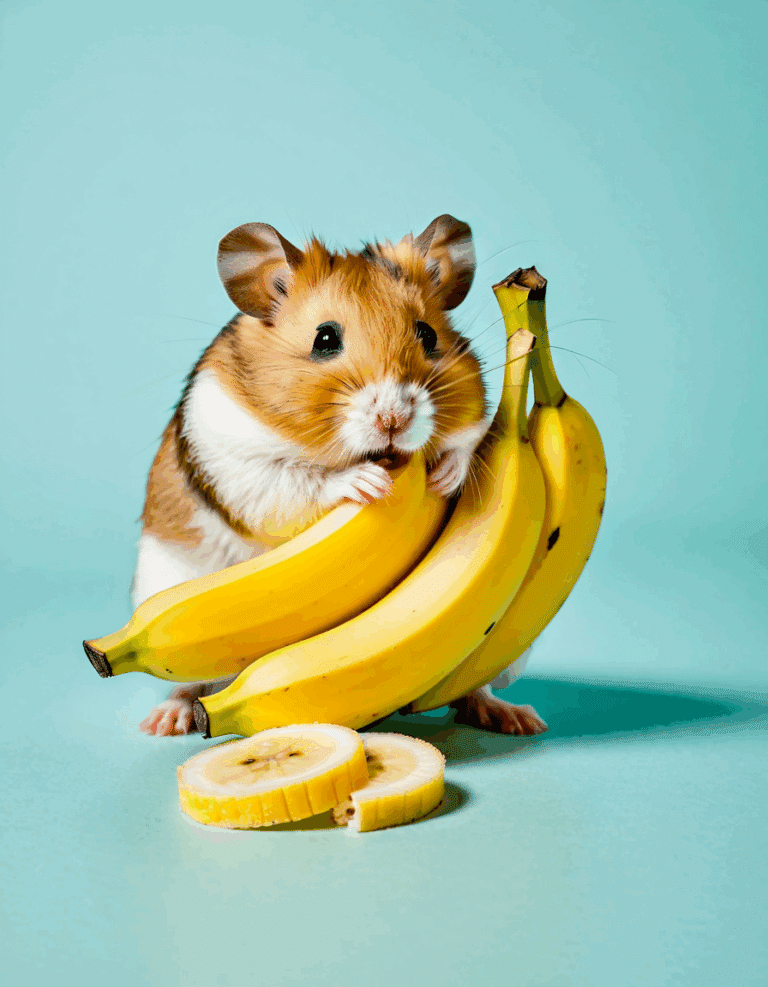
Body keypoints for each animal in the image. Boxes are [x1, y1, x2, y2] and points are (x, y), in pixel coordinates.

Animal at [135, 214, 547, 738]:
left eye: (428, 335)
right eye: (325, 339)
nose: (394, 420)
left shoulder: (477, 413)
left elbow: (468, 440)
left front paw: (444, 477)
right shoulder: (238, 459)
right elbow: (298, 479)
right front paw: (369, 484)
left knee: (471, 686)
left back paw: (516, 718)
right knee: (187, 685)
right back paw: (166, 721)